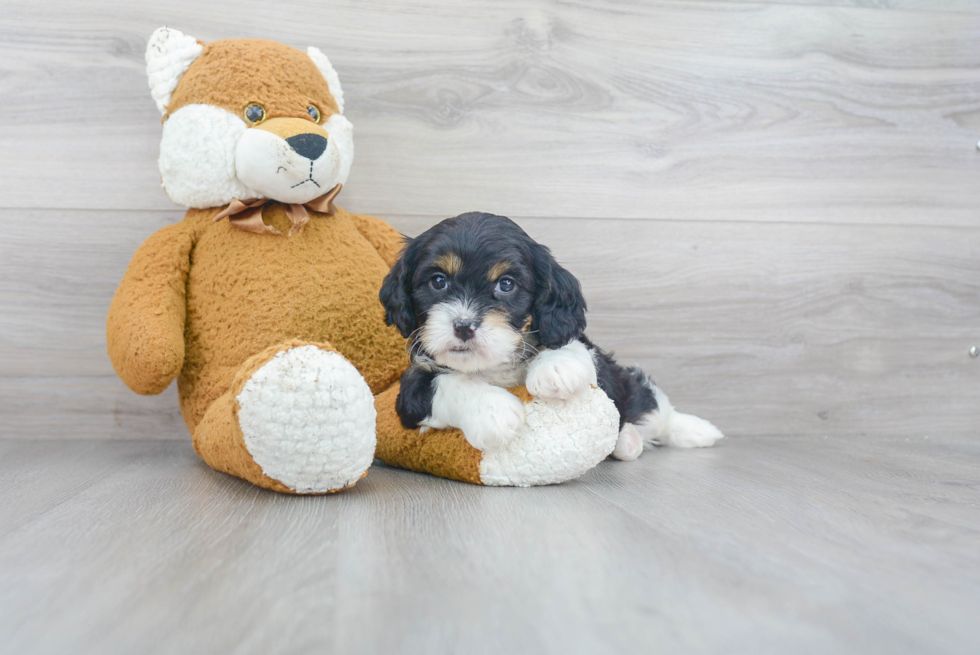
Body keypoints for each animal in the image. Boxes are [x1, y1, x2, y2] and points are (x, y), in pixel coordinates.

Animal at [378, 213, 724, 458]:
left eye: (506, 284)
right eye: (438, 281)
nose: (464, 326)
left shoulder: (585, 351)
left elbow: (572, 345)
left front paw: (556, 367)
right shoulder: (411, 393)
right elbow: (444, 383)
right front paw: (493, 409)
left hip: (632, 391)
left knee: (654, 408)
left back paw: (697, 431)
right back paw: (628, 442)